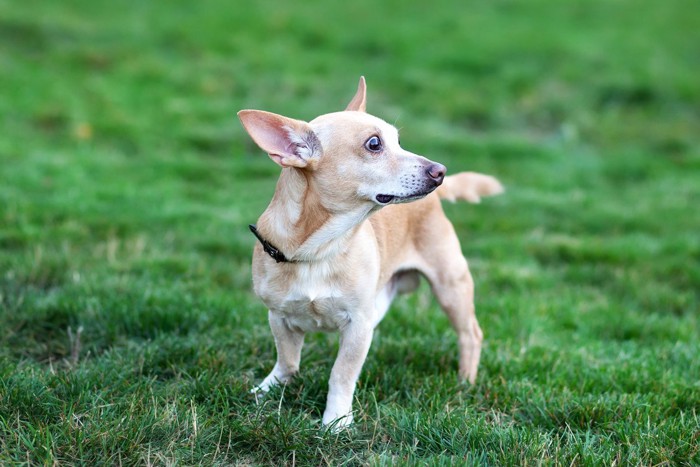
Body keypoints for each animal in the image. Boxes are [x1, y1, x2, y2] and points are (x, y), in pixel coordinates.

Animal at [238, 77, 500, 432]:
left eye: (398, 141)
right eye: (374, 144)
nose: (440, 170)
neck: (321, 248)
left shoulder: (358, 326)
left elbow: (341, 374)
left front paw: (336, 420)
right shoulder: (278, 317)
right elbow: (288, 360)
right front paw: (270, 389)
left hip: (451, 286)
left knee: (470, 334)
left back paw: (466, 381)